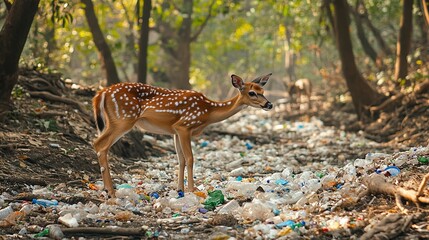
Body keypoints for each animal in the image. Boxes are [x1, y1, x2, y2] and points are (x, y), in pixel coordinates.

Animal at [92, 73, 272, 197]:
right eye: (252, 93)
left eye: (263, 90)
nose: (269, 104)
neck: (208, 112)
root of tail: (101, 93)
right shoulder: (185, 125)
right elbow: (190, 158)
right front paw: (192, 189)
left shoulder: (174, 130)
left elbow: (181, 159)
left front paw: (180, 189)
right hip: (123, 119)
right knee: (99, 144)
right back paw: (110, 191)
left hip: (114, 121)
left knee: (98, 143)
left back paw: (107, 190)